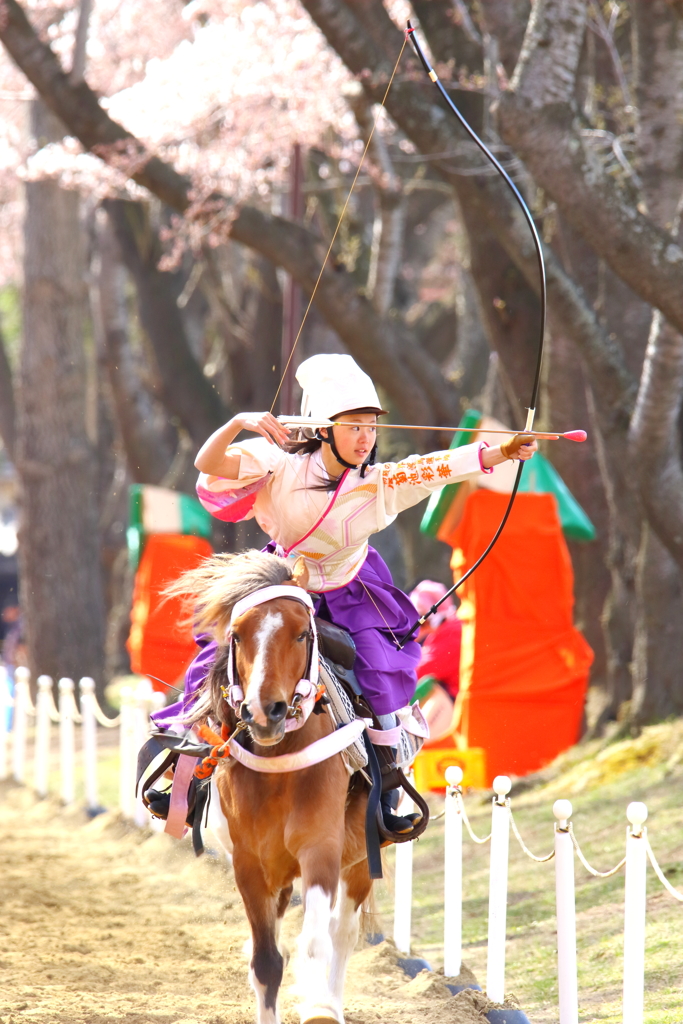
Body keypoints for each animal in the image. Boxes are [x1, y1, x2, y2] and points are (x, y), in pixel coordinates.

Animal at [169, 552, 374, 1024]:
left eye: (301, 633)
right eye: (237, 635)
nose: (266, 711)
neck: (280, 770)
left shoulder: (321, 848)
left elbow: (315, 944)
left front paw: (319, 1008)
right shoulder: (249, 862)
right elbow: (265, 961)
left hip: (360, 858)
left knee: (342, 931)